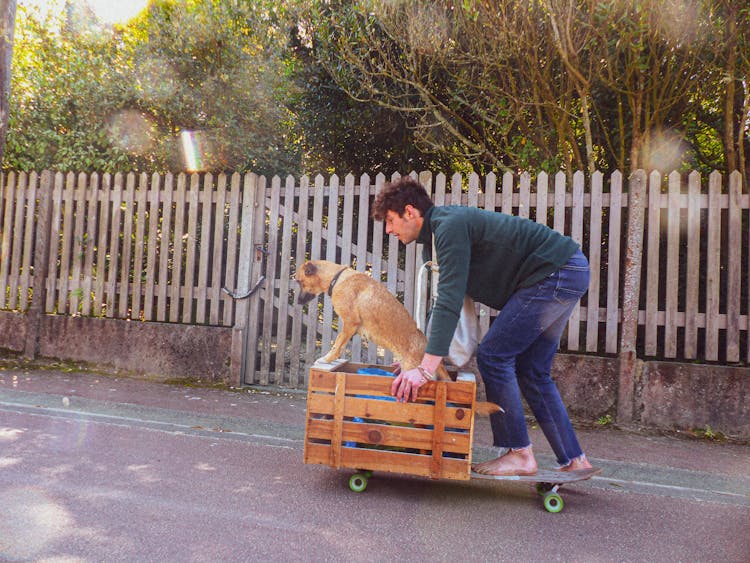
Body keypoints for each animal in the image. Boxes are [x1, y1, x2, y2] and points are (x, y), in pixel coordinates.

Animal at [296, 260, 502, 414]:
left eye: (298, 281)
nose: (297, 302)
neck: (336, 278)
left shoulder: (350, 324)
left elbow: (337, 344)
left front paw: (327, 358)